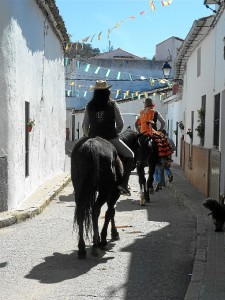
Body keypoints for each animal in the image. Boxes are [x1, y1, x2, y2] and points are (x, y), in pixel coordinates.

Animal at [71, 129, 140, 258]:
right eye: (139, 145)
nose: (136, 164)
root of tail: (91, 146)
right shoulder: (114, 193)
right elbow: (110, 212)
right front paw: (105, 238)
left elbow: (111, 211)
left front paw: (111, 233)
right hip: (104, 191)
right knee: (95, 211)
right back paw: (95, 245)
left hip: (79, 190)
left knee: (81, 213)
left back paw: (82, 248)